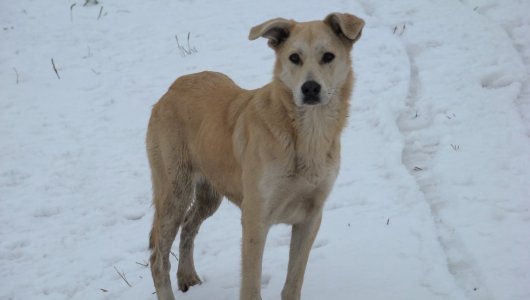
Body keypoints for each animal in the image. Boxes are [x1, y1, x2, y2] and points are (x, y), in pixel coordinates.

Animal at [147, 12, 364, 300]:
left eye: (328, 56)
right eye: (294, 57)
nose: (310, 88)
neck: (305, 135)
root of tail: (173, 88)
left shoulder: (311, 217)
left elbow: (293, 283)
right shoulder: (255, 216)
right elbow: (251, 286)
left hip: (209, 194)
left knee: (189, 226)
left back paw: (187, 275)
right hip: (175, 191)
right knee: (158, 258)